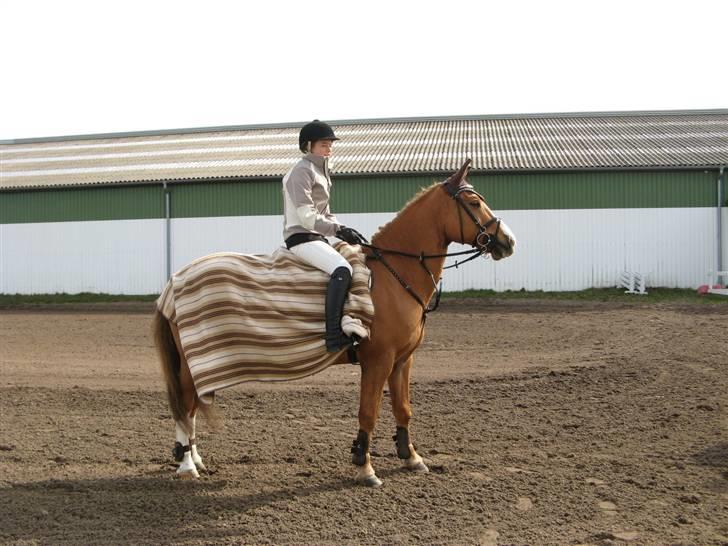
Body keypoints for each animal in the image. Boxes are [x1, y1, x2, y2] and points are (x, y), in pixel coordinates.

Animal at [154, 157, 516, 484]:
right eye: (474, 203)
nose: (508, 241)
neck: (393, 274)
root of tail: (174, 281)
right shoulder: (378, 360)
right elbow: (368, 412)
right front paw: (365, 467)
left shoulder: (402, 360)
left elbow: (403, 408)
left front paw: (411, 457)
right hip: (192, 363)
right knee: (185, 405)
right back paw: (187, 466)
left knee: (190, 407)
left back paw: (195, 459)